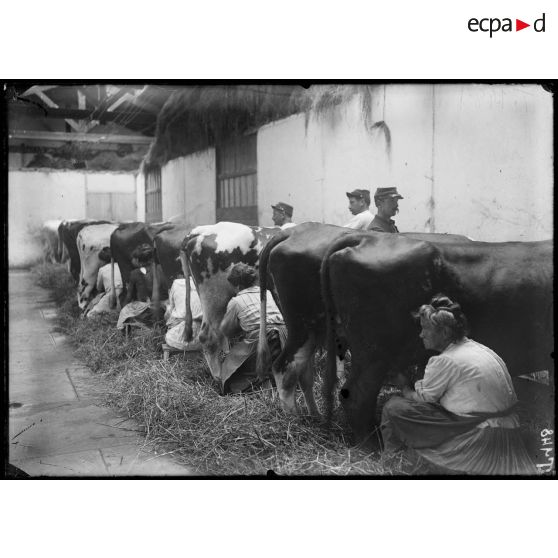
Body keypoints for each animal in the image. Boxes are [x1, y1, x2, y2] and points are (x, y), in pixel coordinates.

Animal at [258, 223, 472, 420]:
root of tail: (294, 231)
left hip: (311, 329)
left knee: (302, 372)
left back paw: (314, 415)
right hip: (305, 326)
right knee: (285, 367)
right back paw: (293, 417)